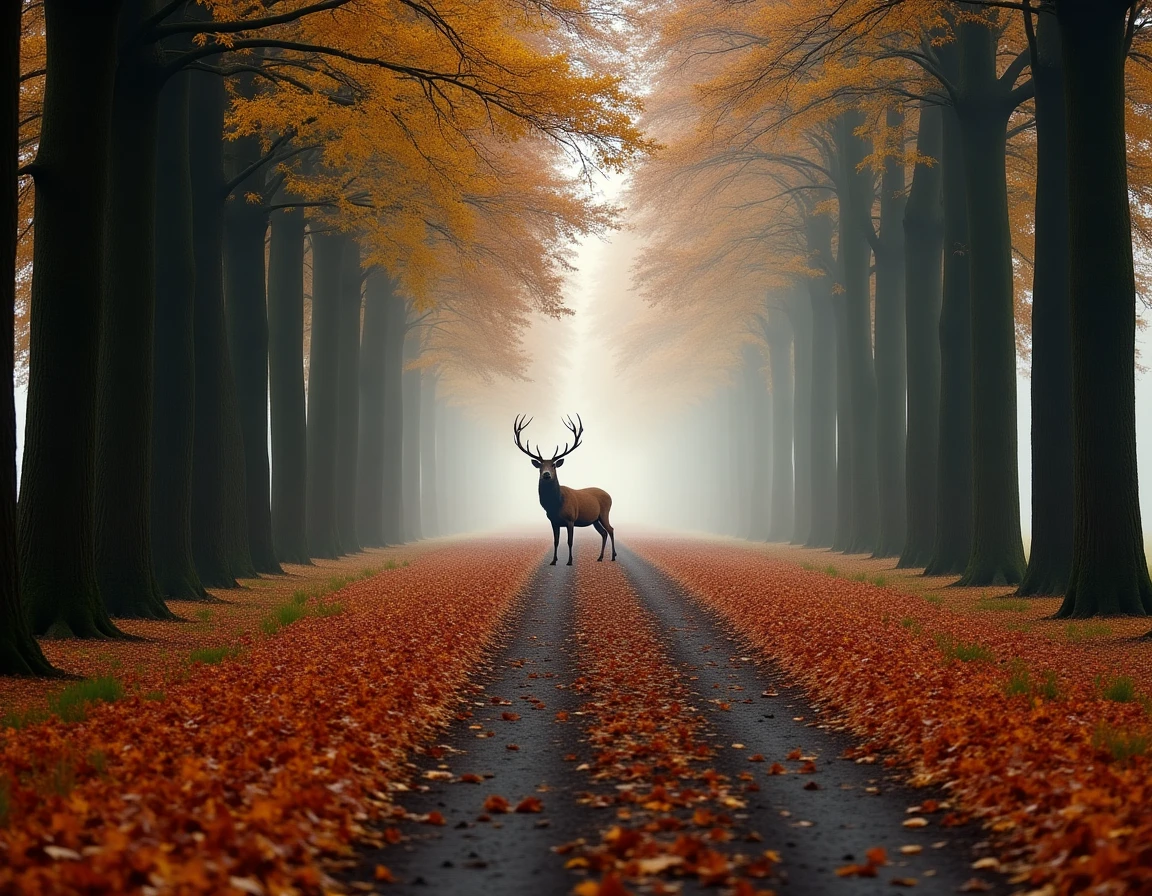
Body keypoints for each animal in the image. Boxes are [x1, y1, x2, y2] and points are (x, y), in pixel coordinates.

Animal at [513, 414, 616, 566]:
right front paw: (553, 561)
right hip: (595, 519)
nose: (546, 474)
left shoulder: (570, 519)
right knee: (603, 533)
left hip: (604, 513)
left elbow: (569, 541)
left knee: (611, 529)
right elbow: (556, 541)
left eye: (554, 465)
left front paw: (569, 561)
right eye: (540, 466)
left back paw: (613, 556)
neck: (555, 504)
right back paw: (600, 557)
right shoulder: (553, 521)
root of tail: (609, 495)